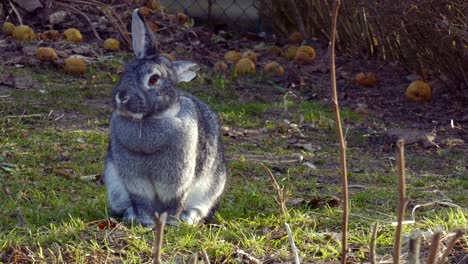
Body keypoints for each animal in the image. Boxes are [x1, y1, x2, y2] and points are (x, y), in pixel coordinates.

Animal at [103, 9, 227, 226]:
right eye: (125, 71)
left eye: (154, 79)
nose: (121, 96)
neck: (149, 120)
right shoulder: (135, 183)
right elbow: (142, 202)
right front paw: (144, 222)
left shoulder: (178, 182)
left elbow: (175, 202)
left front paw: (171, 223)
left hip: (210, 191)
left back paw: (187, 218)